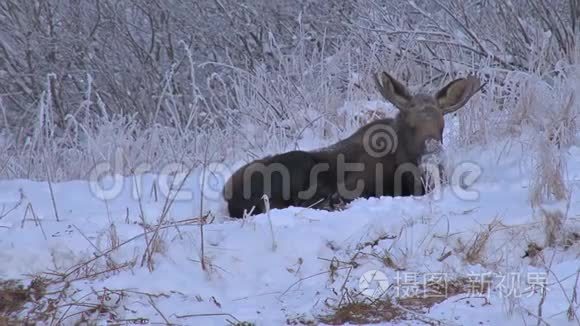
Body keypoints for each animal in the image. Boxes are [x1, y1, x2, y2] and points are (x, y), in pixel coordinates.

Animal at [222, 71, 480, 219]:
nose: (434, 150)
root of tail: (227, 193)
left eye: (441, 125)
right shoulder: (355, 184)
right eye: (410, 124)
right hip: (297, 164)